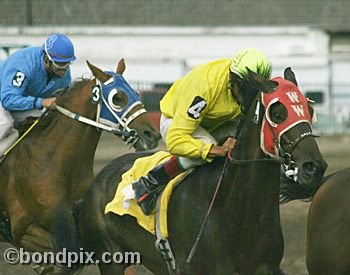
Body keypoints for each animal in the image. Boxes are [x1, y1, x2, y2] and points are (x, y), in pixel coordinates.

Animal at [78, 67, 326, 275]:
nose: (314, 167)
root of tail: (101, 175)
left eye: (309, 109)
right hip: (111, 257)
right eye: (277, 113)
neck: (238, 214)